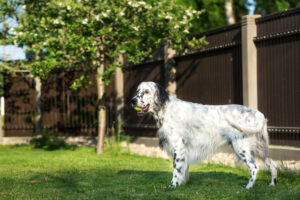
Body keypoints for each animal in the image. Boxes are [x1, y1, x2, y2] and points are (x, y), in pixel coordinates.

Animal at [130, 81, 278, 189]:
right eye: (137, 91)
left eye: (146, 91)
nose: (132, 100)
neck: (166, 109)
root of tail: (258, 114)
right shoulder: (185, 150)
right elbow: (183, 170)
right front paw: (182, 184)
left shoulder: (178, 147)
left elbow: (176, 170)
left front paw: (173, 186)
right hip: (261, 149)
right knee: (272, 164)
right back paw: (273, 183)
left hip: (241, 147)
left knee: (254, 168)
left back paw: (248, 187)